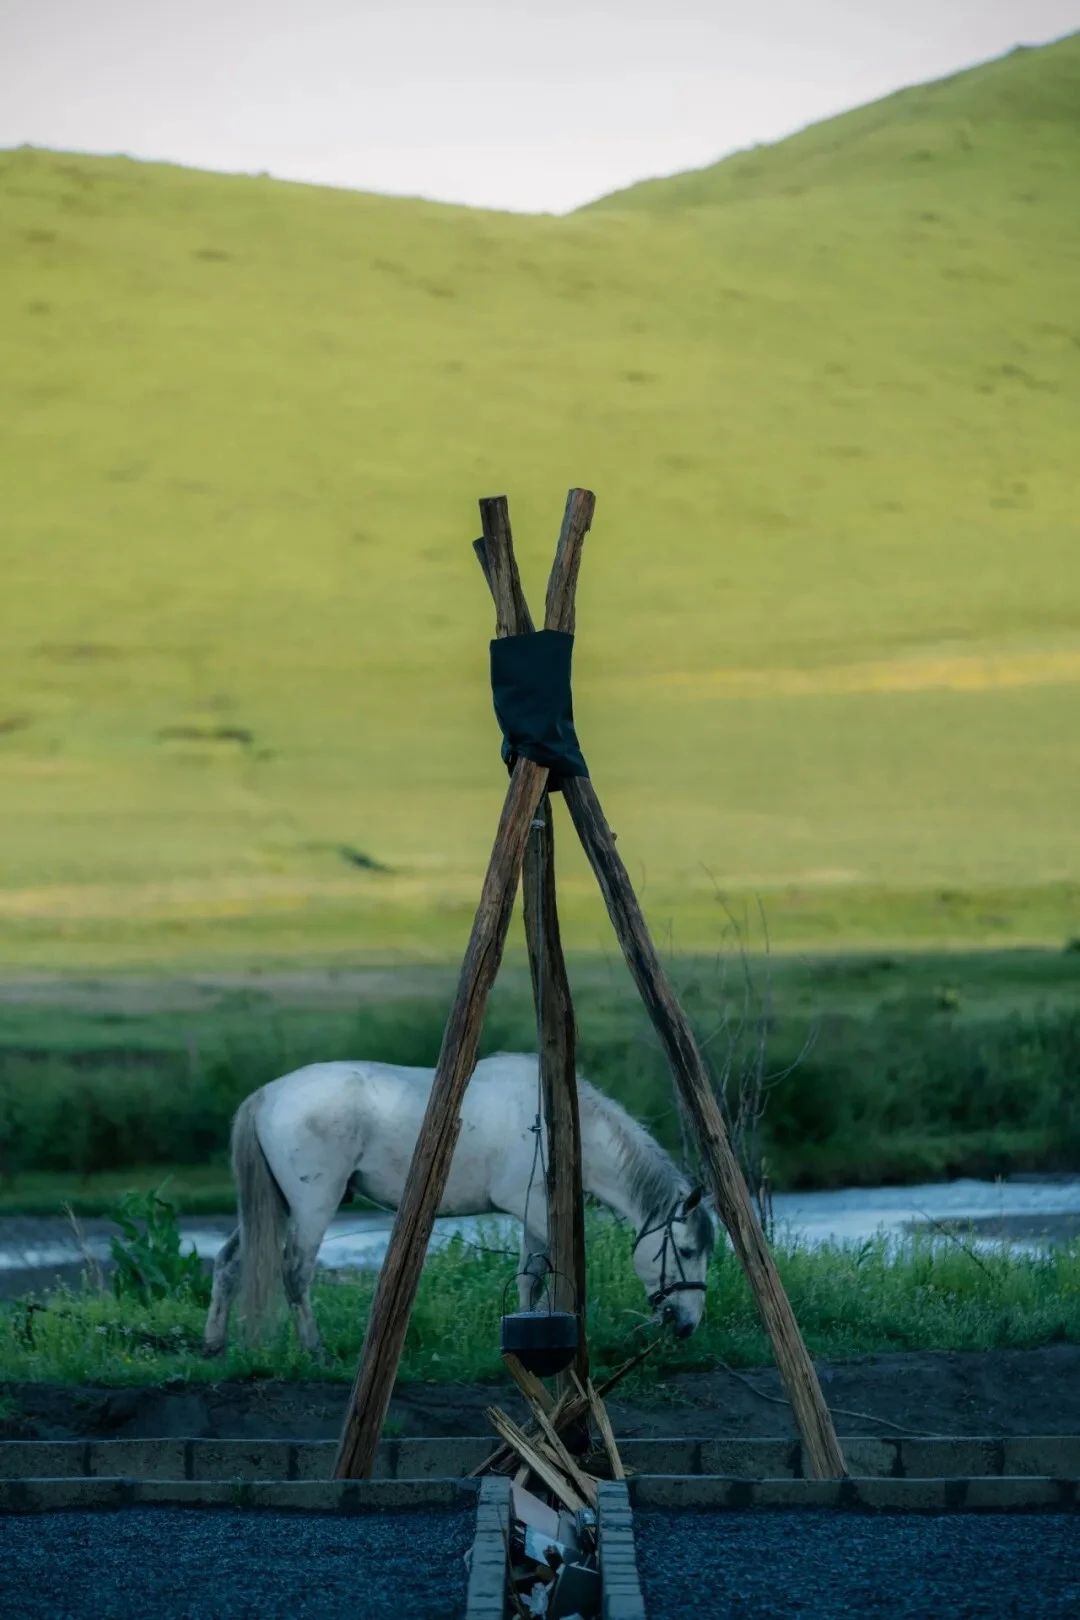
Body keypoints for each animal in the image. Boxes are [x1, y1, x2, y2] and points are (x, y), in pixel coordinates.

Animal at [205, 1049, 718, 1354]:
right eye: (686, 1250)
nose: (688, 1324)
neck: (562, 1127)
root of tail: (266, 1095)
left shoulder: (533, 1213)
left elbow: (530, 1278)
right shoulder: (532, 1208)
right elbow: (551, 1269)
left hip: (272, 1205)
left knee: (228, 1263)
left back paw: (214, 1344)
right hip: (314, 1204)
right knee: (295, 1272)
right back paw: (316, 1350)